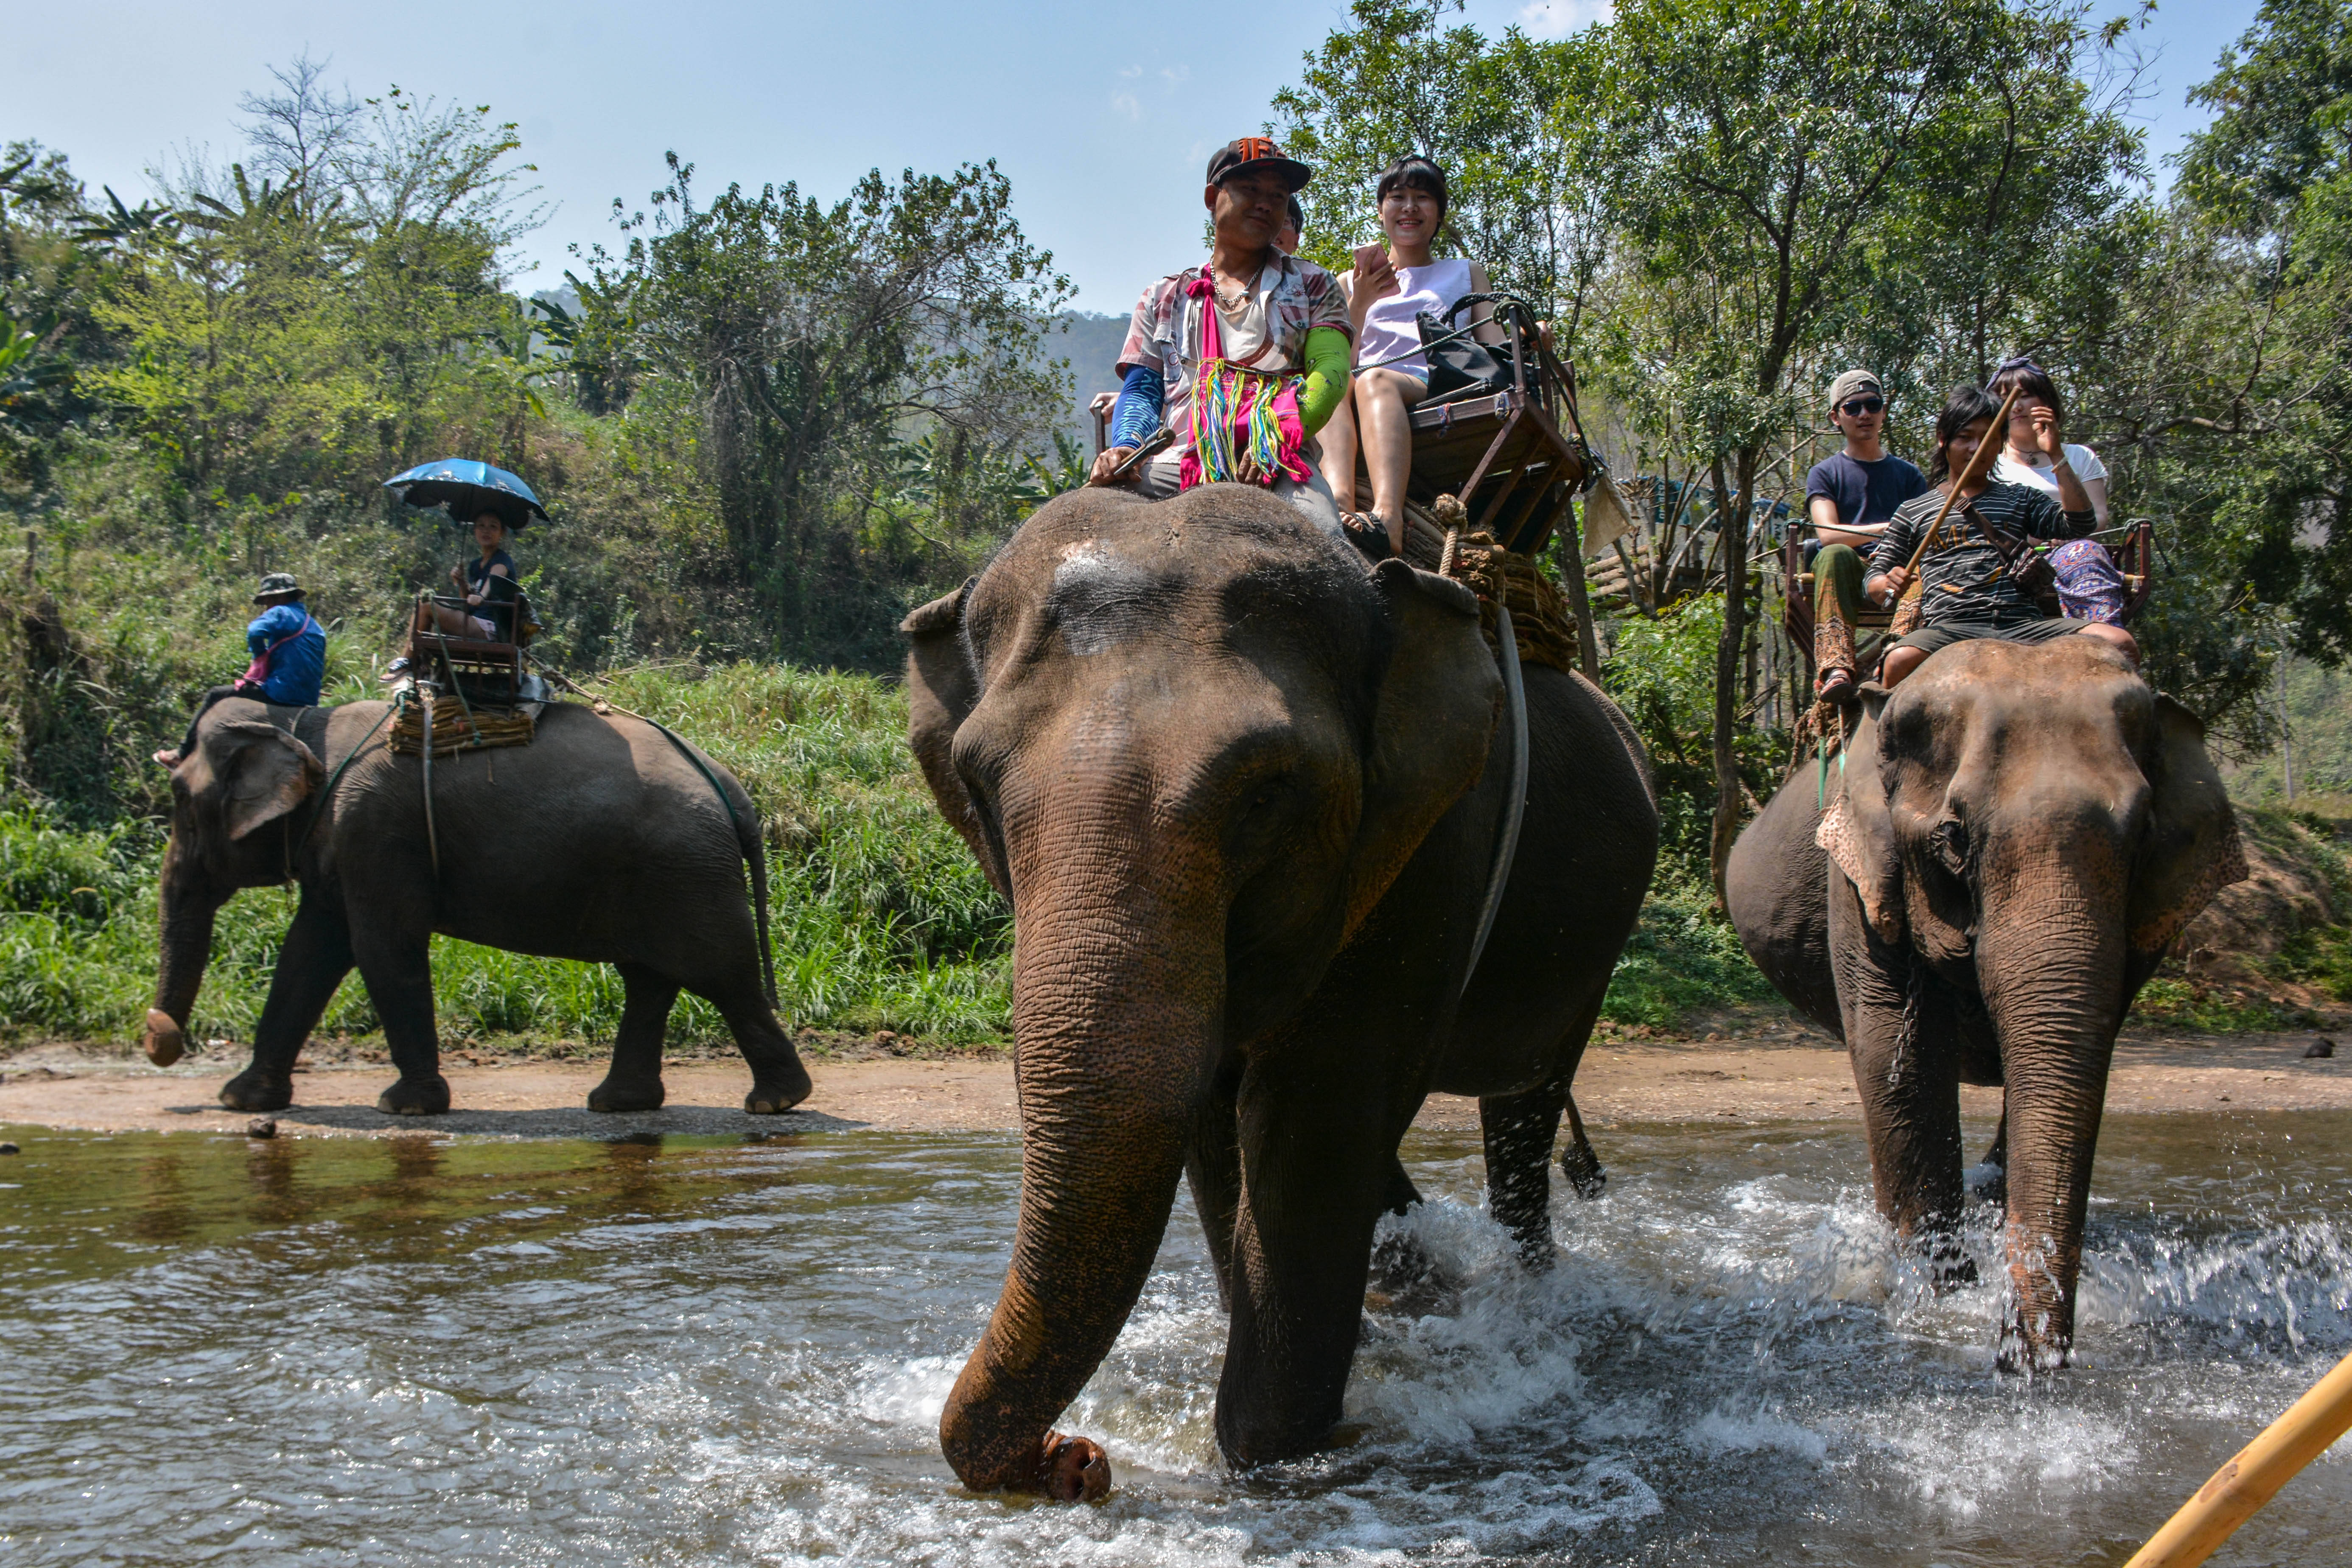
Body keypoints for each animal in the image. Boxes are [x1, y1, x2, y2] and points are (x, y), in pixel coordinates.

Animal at [149, 696, 809, 1114]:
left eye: (180, 800)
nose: (160, 1039)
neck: (301, 720)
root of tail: (731, 789)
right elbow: (311, 951)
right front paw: (240, 1101)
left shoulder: (375, 831)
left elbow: (382, 948)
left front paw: (405, 1109)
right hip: (661, 874)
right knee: (649, 979)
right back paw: (618, 1105)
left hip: (685, 871)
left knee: (722, 973)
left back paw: (775, 1102)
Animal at [898, 484, 1655, 1504]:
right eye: (977, 781)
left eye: (1267, 793)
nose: (1074, 1457)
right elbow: (1214, 1119)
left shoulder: (1435, 842)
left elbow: (1311, 1118)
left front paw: (1279, 1455)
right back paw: (1412, 1288)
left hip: (1592, 939)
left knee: (1523, 1111)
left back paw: (1522, 1296)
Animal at [1731, 639, 2239, 1373]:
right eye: (1954, 839)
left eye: (2144, 839)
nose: (2020, 1360)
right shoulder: (1857, 879)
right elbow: (1900, 1059)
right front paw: (1940, 1301)